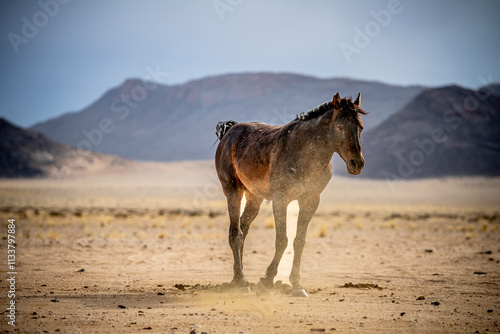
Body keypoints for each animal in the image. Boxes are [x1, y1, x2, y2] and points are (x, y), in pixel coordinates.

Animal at [213, 92, 366, 296]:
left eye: (360, 127)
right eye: (339, 126)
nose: (357, 163)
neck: (305, 154)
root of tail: (230, 131)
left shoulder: (310, 201)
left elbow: (299, 241)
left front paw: (297, 284)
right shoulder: (281, 200)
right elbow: (282, 240)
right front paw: (267, 280)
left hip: (255, 198)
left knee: (242, 231)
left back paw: (236, 278)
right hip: (233, 192)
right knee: (235, 234)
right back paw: (242, 282)